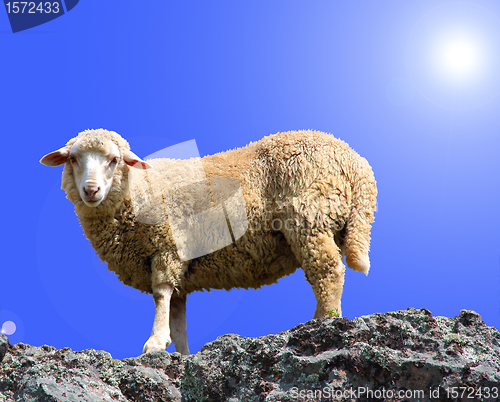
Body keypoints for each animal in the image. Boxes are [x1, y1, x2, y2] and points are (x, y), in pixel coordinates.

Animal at [41, 129, 376, 354]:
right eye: (73, 159)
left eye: (114, 160)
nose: (91, 190)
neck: (138, 191)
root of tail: (356, 163)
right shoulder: (180, 263)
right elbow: (178, 313)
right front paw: (181, 352)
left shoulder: (167, 246)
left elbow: (161, 294)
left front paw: (154, 342)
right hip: (334, 221)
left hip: (309, 217)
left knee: (328, 271)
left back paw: (322, 323)